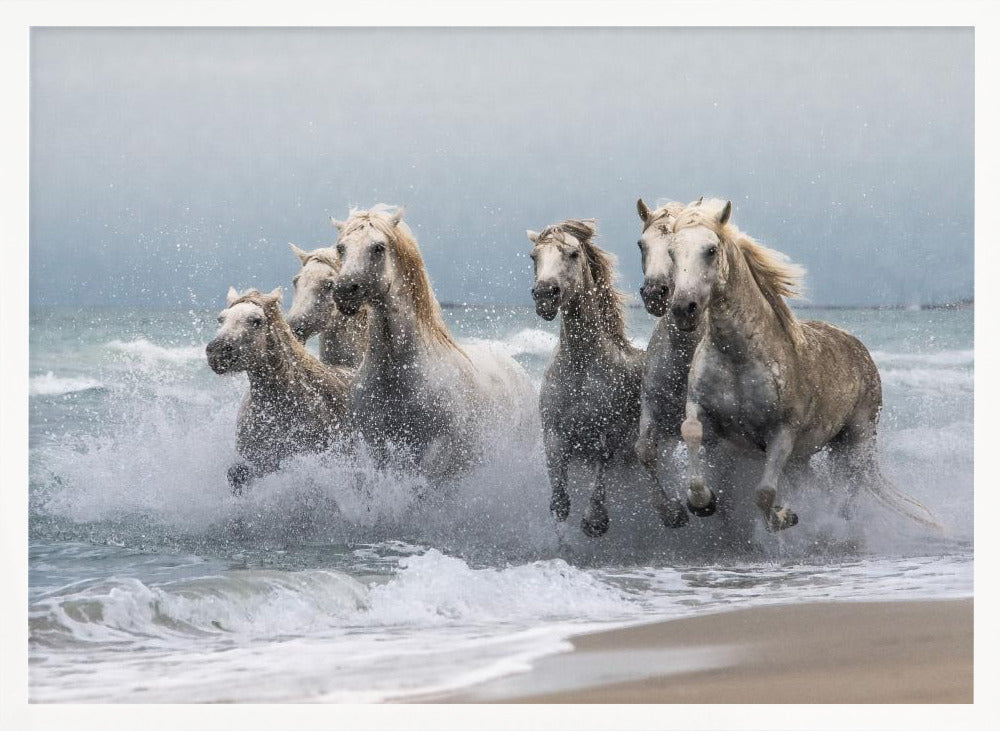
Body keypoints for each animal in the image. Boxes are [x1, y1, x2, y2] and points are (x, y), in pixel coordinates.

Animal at [330, 204, 537, 481]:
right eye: (341, 248)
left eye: (378, 247)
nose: (344, 292)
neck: (397, 374)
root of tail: (517, 369)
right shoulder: (376, 448)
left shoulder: (435, 452)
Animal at [529, 219, 673, 537]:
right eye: (534, 257)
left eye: (572, 254)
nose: (544, 295)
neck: (580, 367)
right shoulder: (553, 433)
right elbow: (560, 501)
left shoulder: (607, 433)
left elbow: (602, 466)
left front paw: (595, 520)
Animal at [662, 198, 939, 532]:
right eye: (672, 252)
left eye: (711, 250)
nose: (683, 309)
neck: (738, 357)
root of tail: (859, 349)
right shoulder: (702, 409)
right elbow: (691, 431)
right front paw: (702, 501)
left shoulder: (783, 434)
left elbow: (764, 493)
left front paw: (784, 517)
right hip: (806, 457)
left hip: (856, 440)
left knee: (851, 484)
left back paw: (840, 522)